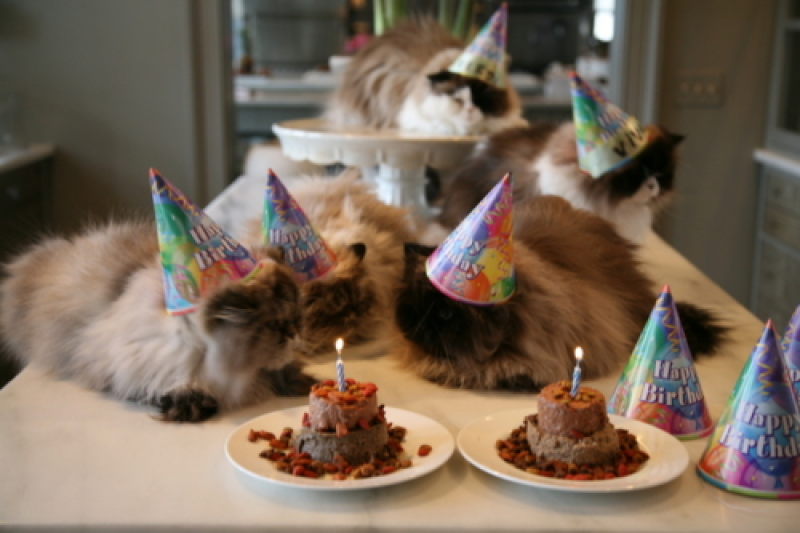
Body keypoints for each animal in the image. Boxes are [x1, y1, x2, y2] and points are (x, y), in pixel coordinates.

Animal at [0, 169, 314, 420]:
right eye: (274, 325)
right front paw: (188, 404)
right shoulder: (121, 358)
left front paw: (299, 381)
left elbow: (282, 371)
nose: (296, 334)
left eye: (297, 318)